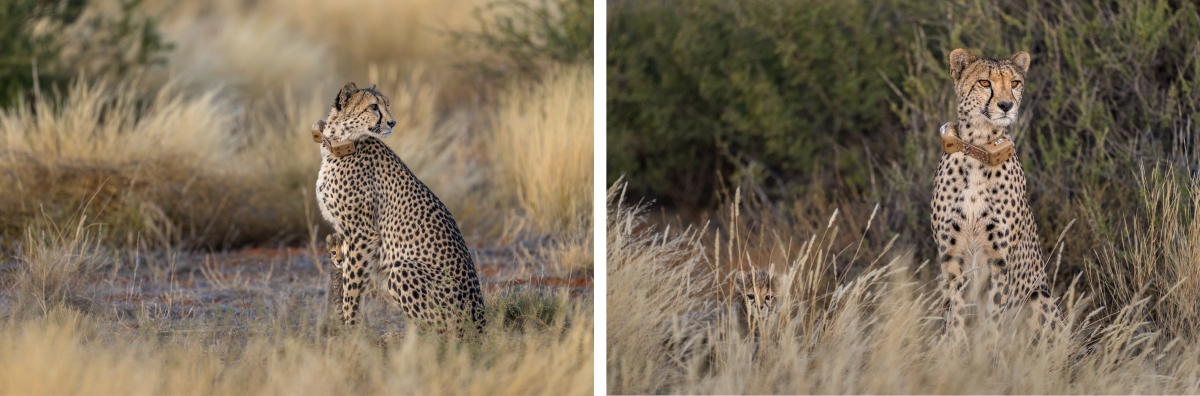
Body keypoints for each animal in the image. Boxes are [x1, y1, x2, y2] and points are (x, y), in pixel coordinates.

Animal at [319, 82, 492, 333]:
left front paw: (351, 330)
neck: (340, 143)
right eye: (374, 106)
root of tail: (480, 319)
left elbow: (352, 287)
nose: (392, 123)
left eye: (386, 105)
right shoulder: (347, 233)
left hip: (402, 269)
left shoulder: (362, 234)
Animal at [931, 48, 1065, 336]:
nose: (1006, 106)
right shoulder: (951, 256)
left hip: (1039, 296)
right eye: (984, 82)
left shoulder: (999, 261)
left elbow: (993, 317)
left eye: (1014, 83)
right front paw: (953, 344)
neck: (979, 149)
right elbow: (956, 313)